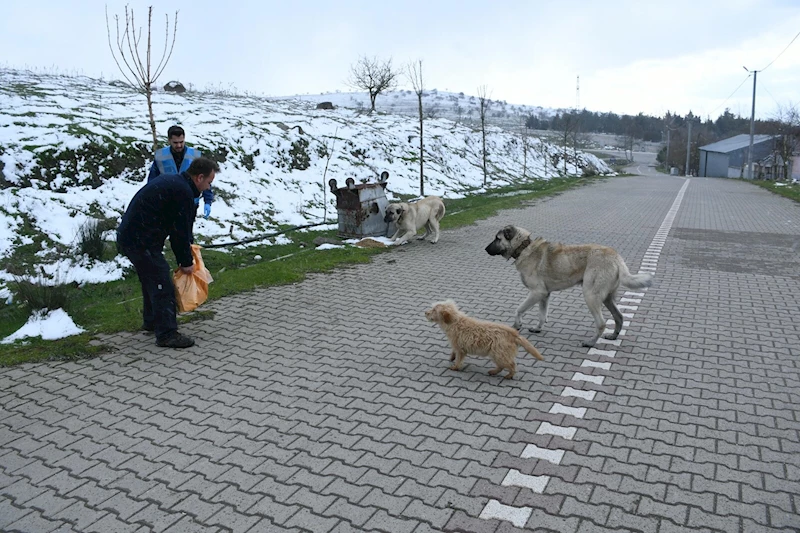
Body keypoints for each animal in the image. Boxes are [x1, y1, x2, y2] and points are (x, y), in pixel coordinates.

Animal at [484, 227, 652, 348]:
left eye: (497, 238)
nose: (485, 249)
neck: (524, 248)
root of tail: (616, 257)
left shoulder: (536, 293)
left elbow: (519, 309)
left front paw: (517, 324)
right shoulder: (544, 295)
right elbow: (542, 315)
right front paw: (538, 328)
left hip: (591, 296)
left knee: (602, 323)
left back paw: (590, 342)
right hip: (607, 298)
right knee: (619, 317)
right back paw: (613, 336)